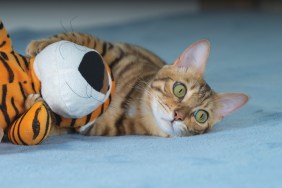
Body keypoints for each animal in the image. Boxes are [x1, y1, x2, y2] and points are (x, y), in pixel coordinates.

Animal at [25, 32, 248, 137]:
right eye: (180, 89)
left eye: (201, 116)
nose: (178, 115)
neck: (134, 109)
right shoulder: (114, 50)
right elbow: (84, 38)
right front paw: (41, 44)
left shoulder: (86, 126)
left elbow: (53, 122)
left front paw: (33, 111)